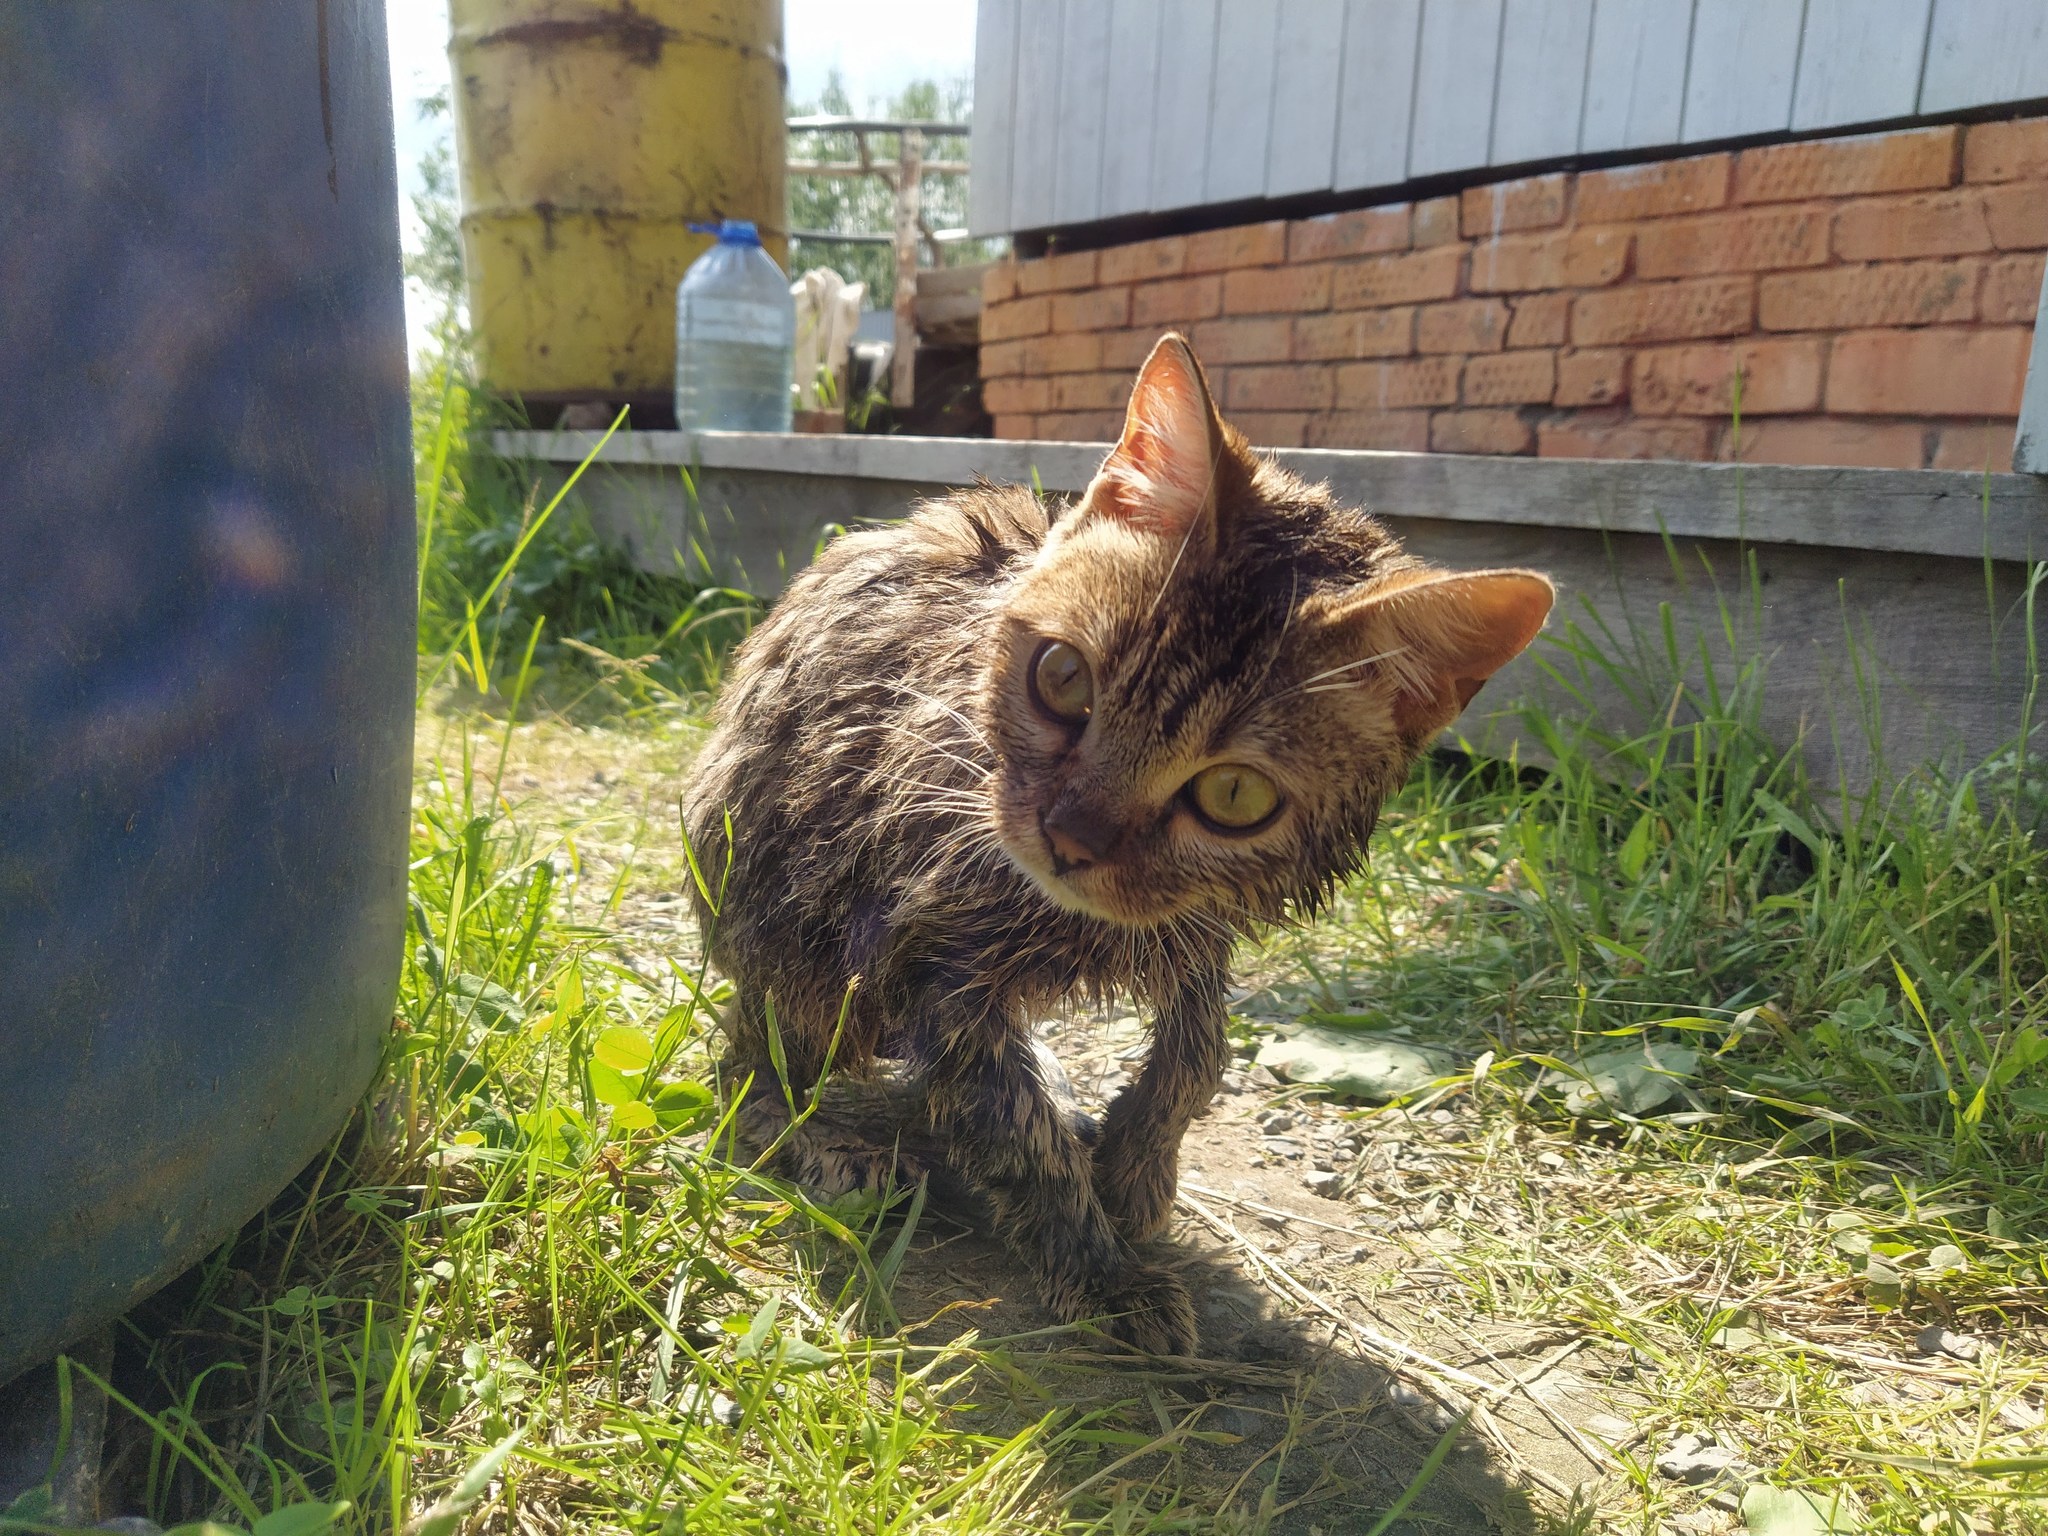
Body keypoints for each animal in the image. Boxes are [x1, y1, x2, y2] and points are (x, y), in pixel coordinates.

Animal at [679, 331, 1540, 1351]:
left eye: (1235, 795)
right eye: (1062, 679)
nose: (1068, 839)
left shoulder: (1194, 925)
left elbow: (1200, 1042)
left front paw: (1136, 1163)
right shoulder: (923, 956)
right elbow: (1014, 1130)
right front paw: (1098, 1268)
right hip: (790, 922)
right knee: (743, 1065)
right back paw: (814, 1135)